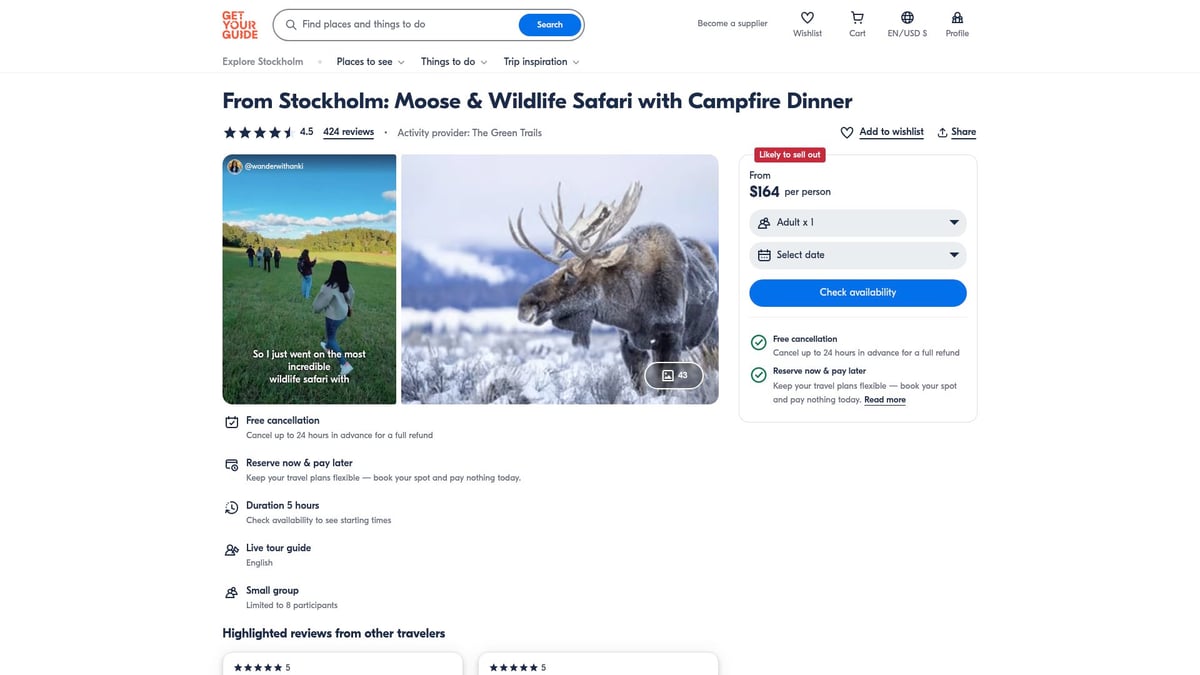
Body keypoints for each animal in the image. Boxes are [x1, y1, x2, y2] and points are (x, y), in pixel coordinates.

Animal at [509, 182, 718, 393]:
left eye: (569, 276)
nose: (524, 305)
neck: (637, 308)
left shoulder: (670, 336)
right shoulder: (627, 341)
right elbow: (640, 388)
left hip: (712, 333)